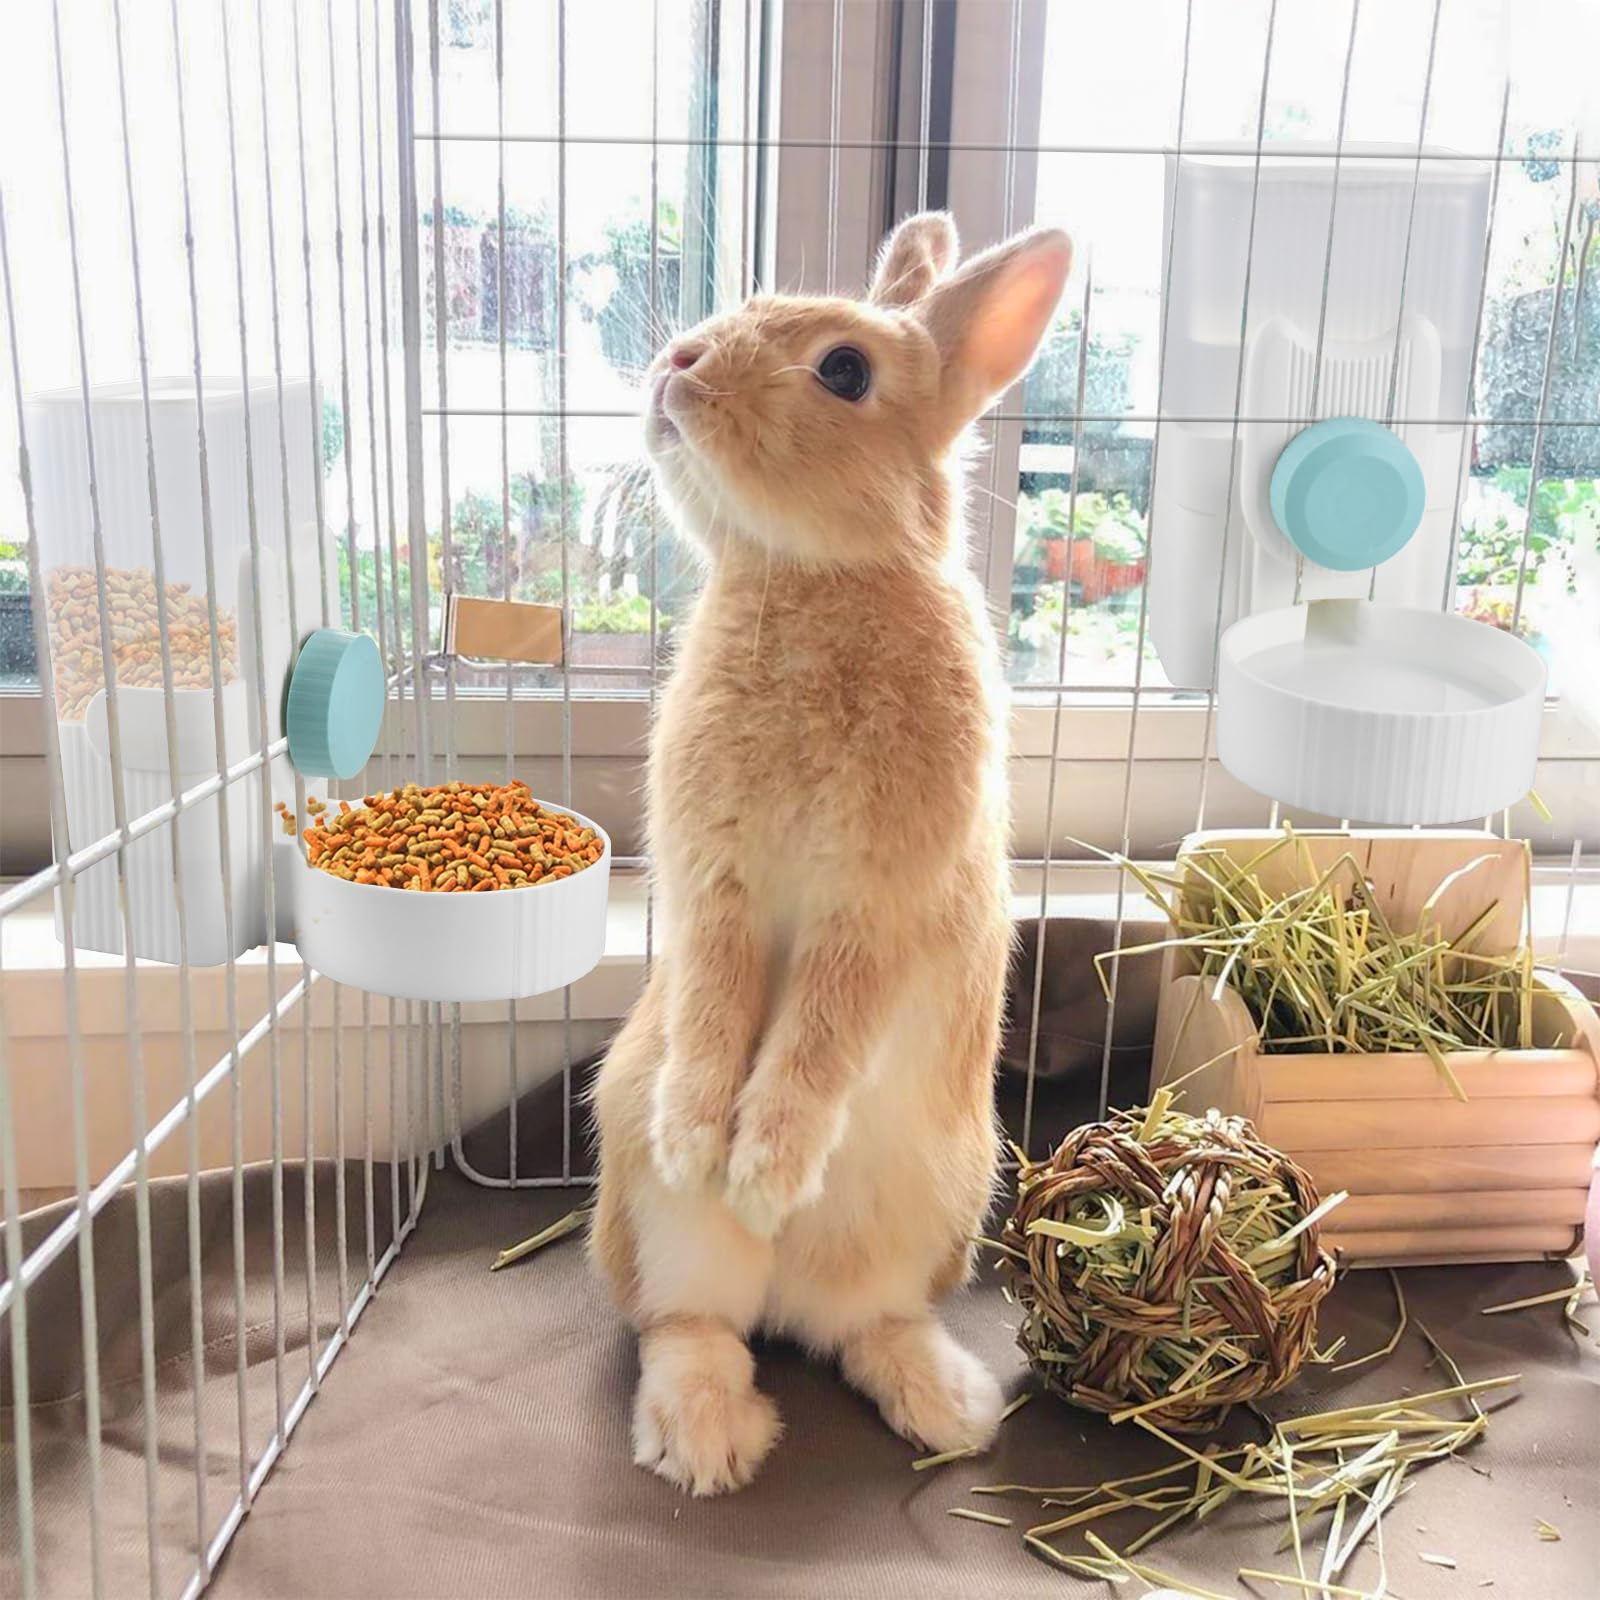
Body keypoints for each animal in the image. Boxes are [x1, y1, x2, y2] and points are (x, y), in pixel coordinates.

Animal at [591, 211, 1073, 1496]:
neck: (810, 577)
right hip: (657, 1223)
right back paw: (708, 1436)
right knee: (690, 1325)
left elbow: (820, 1033)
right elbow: (717, 1005)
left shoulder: (879, 905)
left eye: (845, 370)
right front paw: (705, 1140)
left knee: (862, 1327)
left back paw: (948, 1404)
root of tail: (783, 1295)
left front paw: (765, 1165)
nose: (677, 362)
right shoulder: (714, 887)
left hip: (931, 1211)